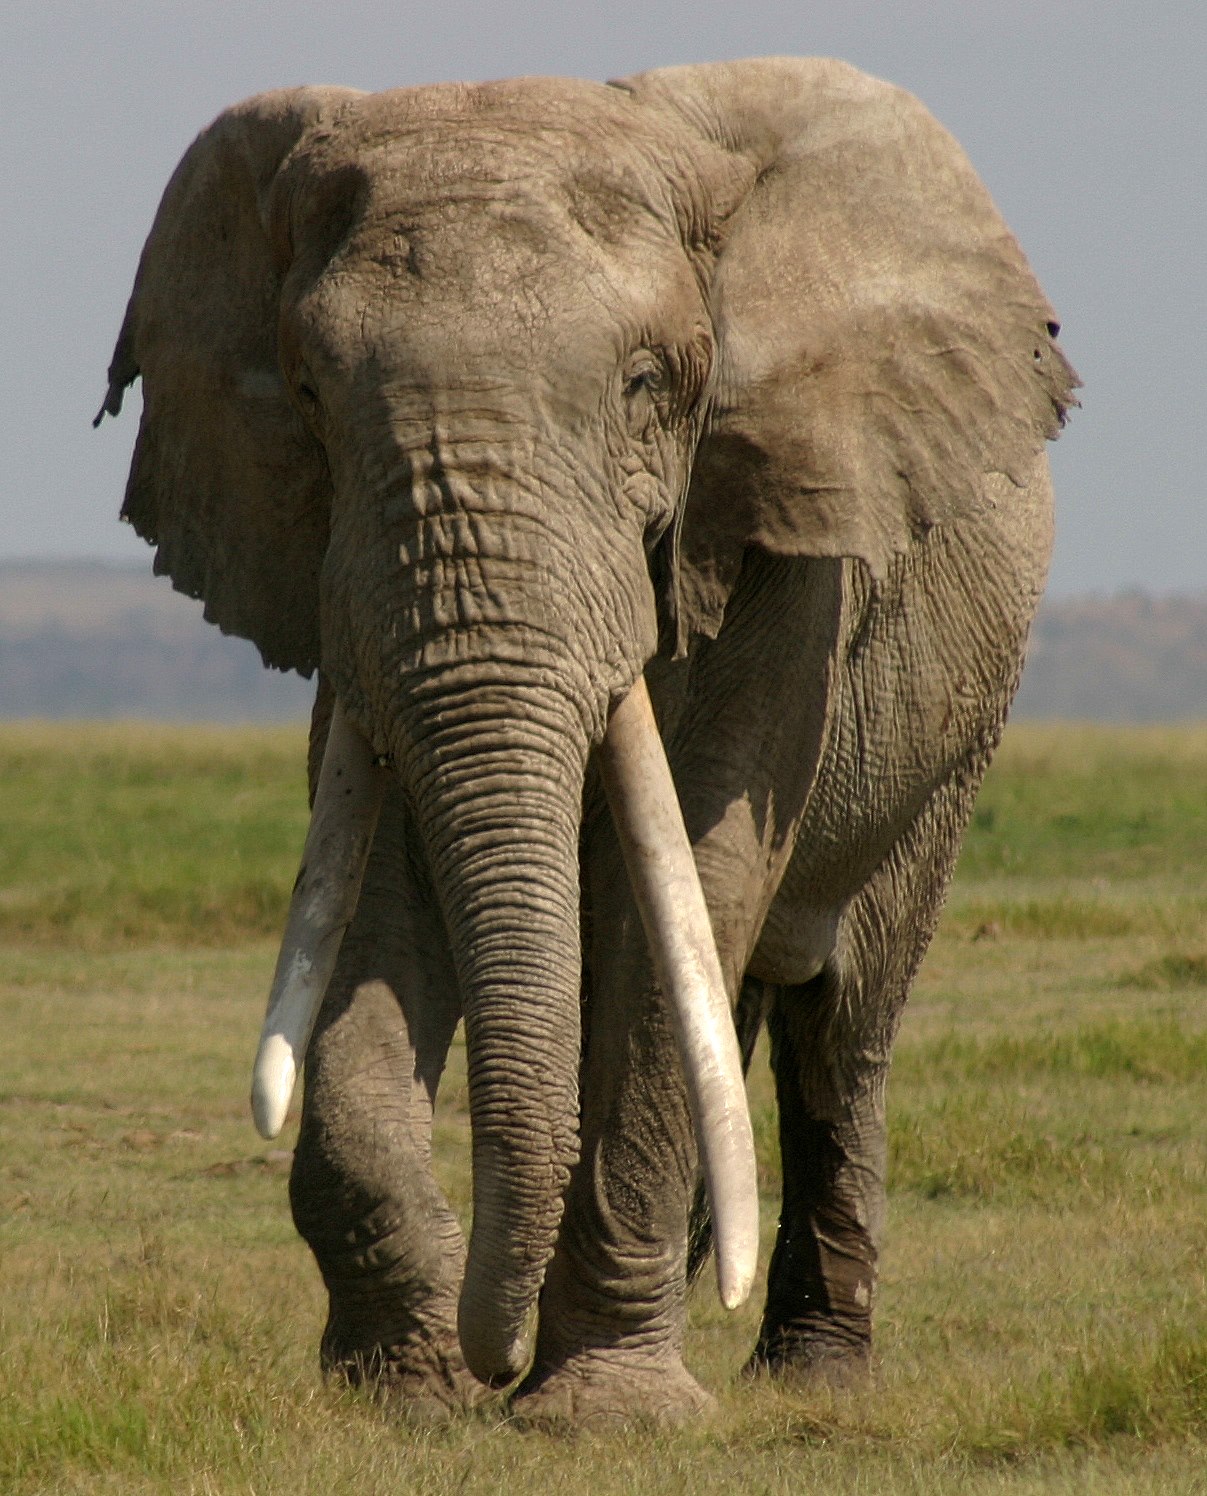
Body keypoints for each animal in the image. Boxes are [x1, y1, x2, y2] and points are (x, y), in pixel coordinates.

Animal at [96, 55, 1076, 1412]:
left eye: (645, 387)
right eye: (305, 396)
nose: (489, 1358)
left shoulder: (782, 546)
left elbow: (697, 867)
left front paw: (598, 1414)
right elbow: (383, 880)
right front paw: (403, 1394)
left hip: (954, 728)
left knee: (838, 1019)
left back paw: (812, 1374)